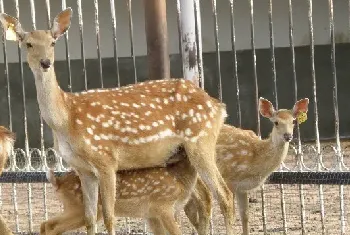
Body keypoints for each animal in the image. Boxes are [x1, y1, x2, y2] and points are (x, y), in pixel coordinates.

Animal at [0, 7, 235, 235]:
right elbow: (90, 219)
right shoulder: (83, 169)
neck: (66, 121)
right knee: (204, 198)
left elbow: (109, 217)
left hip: (201, 141)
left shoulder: (106, 160)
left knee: (224, 195)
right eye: (28, 43)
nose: (45, 62)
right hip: (183, 152)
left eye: (53, 42)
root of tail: (219, 106)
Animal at [183, 97, 308, 235]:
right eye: (276, 122)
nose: (288, 136)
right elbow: (230, 211)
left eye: (293, 121)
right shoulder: (229, 179)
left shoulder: (241, 188)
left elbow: (245, 215)